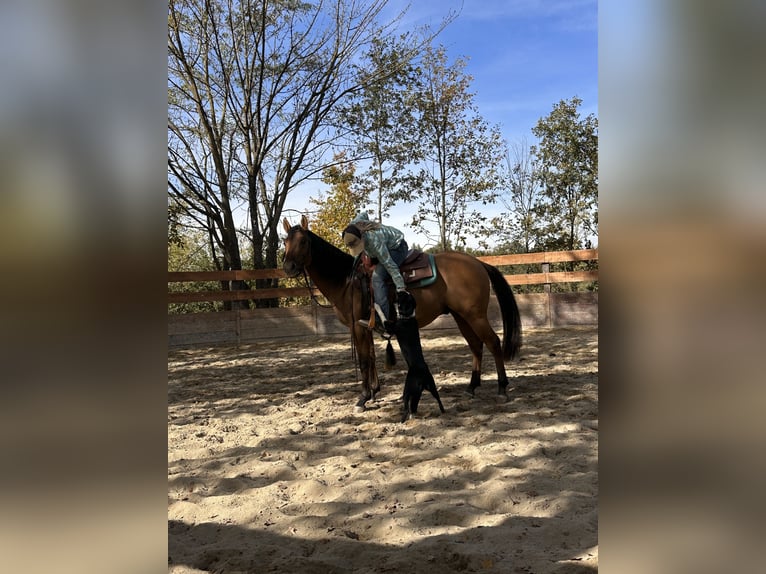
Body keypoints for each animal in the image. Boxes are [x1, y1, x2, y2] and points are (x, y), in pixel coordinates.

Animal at [282, 215, 522, 412]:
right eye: (285, 242)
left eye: (303, 242)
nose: (288, 267)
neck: (347, 281)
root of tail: (478, 262)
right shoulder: (365, 327)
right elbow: (371, 357)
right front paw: (374, 392)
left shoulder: (358, 327)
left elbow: (364, 360)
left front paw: (362, 399)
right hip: (461, 316)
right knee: (476, 345)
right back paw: (471, 387)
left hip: (475, 315)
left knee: (493, 342)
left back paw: (502, 389)